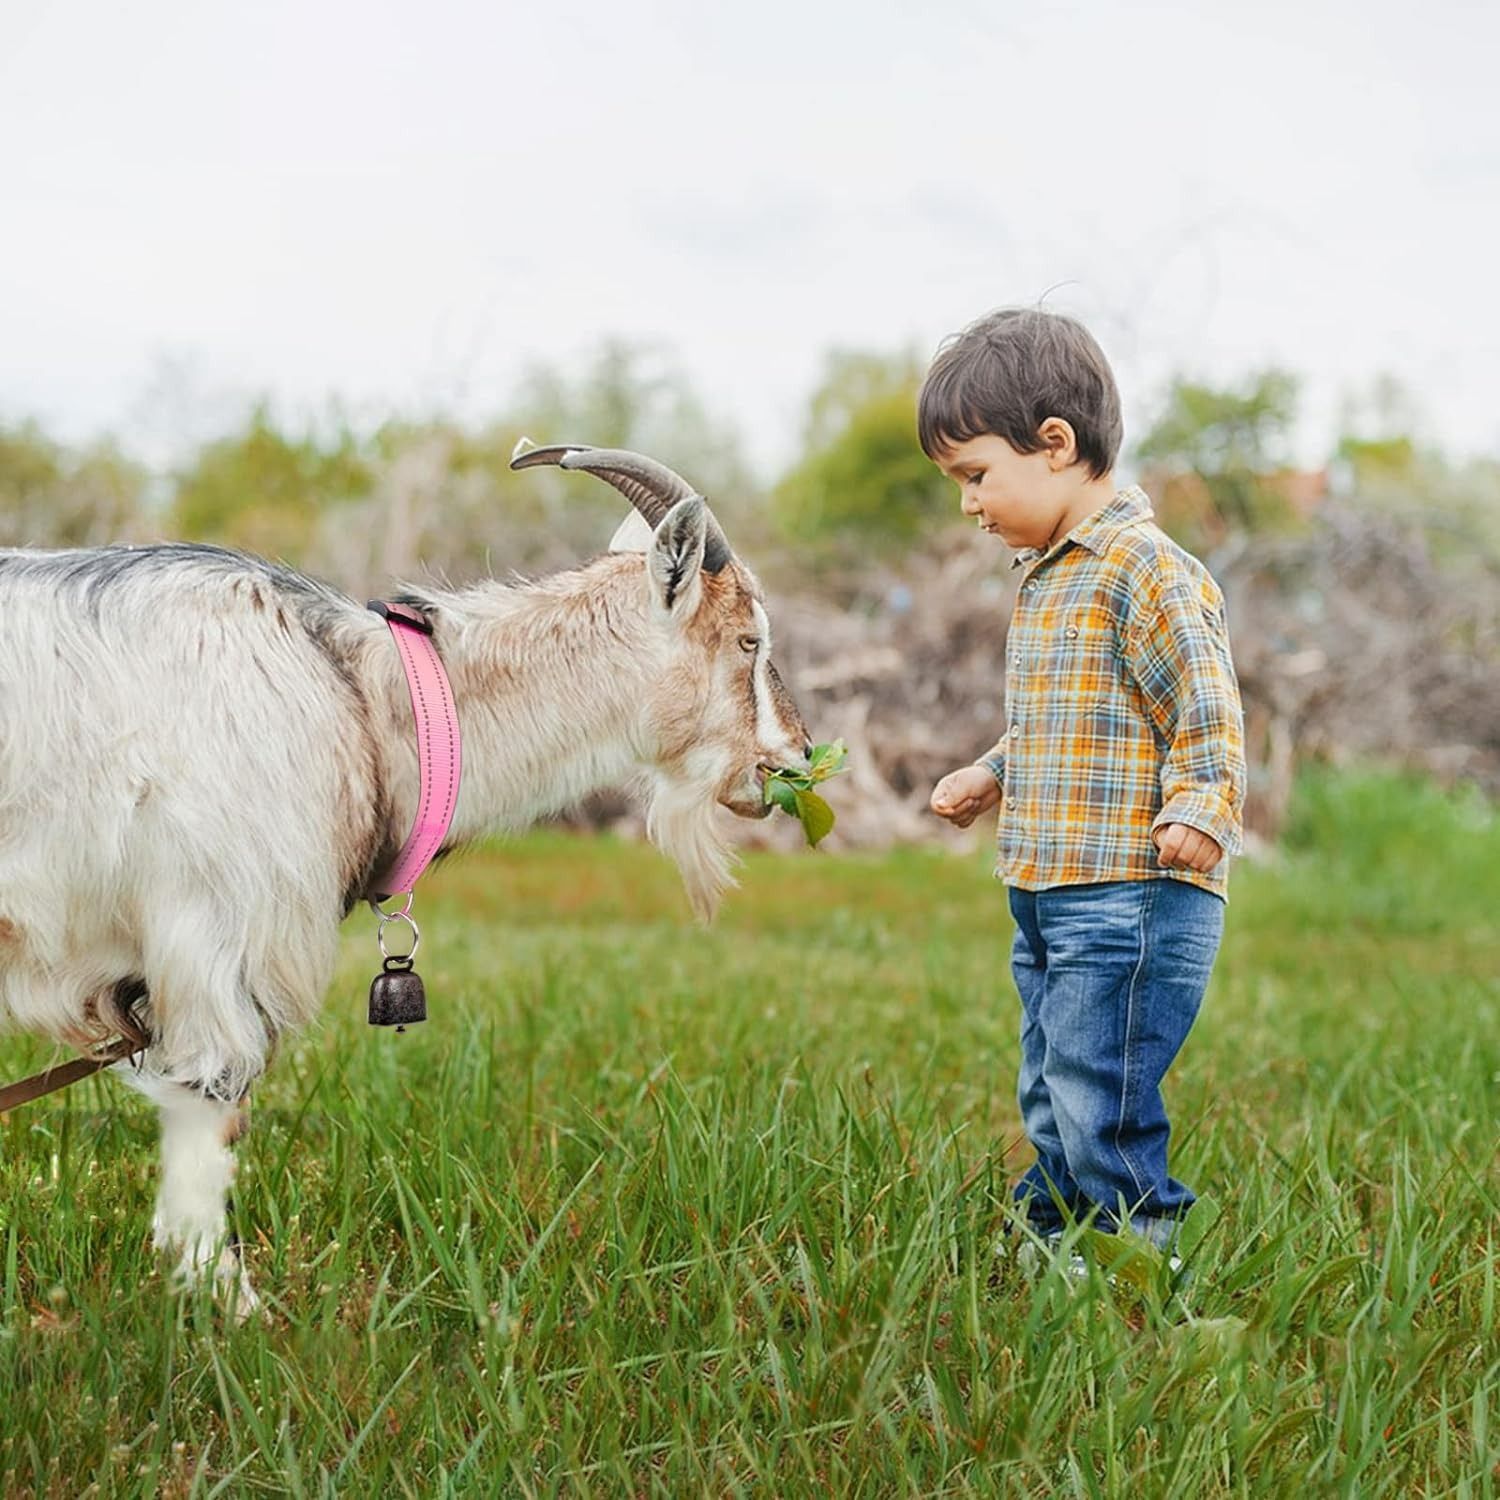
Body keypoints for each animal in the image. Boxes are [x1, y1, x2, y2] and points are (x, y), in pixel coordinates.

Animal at [0, 444, 812, 1314]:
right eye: (749, 640)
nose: (799, 755)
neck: (359, 696)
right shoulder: (212, 935)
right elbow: (208, 1117)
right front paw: (231, 1308)